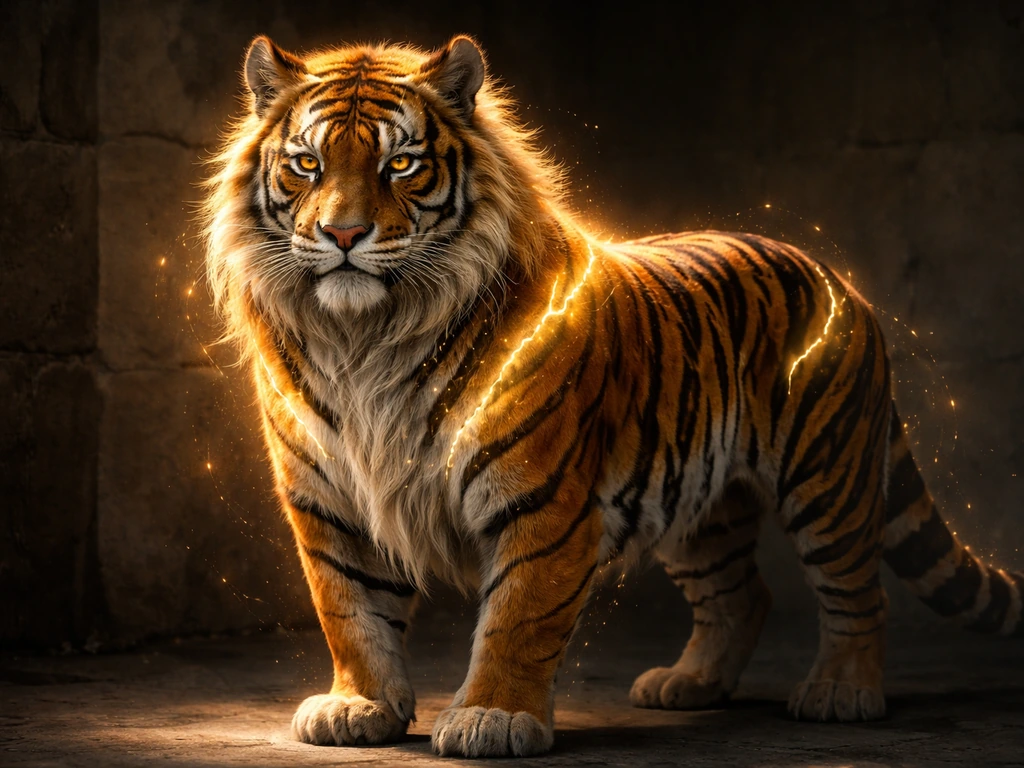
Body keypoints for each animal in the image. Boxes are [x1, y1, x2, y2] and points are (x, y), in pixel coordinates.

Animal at [201, 33, 1024, 758]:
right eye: (307, 164)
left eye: (400, 163)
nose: (343, 234)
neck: (365, 339)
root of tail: (835, 276)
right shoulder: (328, 497)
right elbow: (348, 608)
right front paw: (358, 706)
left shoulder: (541, 498)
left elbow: (520, 616)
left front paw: (493, 717)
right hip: (700, 501)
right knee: (741, 593)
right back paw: (688, 685)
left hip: (828, 476)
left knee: (857, 590)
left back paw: (841, 693)